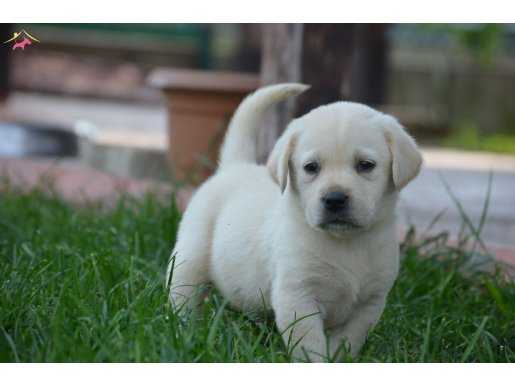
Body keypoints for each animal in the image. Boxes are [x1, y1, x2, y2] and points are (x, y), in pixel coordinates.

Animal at [167, 83, 422, 360]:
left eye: (366, 165)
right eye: (311, 167)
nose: (334, 199)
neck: (344, 243)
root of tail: (234, 167)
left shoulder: (369, 304)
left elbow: (348, 341)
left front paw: (339, 359)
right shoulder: (298, 296)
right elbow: (309, 344)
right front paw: (317, 362)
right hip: (189, 260)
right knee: (183, 297)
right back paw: (183, 332)